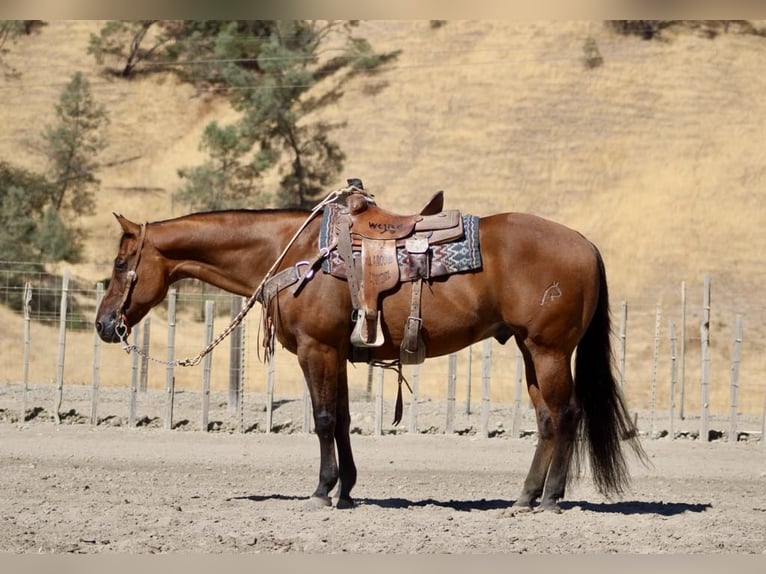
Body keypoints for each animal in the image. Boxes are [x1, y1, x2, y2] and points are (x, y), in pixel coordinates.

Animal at [96, 191, 648, 516]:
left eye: (122, 264)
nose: (105, 325)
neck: (296, 254)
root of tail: (585, 244)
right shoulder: (336, 354)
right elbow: (340, 419)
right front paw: (347, 489)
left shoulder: (316, 350)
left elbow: (322, 419)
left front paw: (321, 492)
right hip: (532, 352)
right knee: (547, 420)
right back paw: (526, 496)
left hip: (549, 350)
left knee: (567, 414)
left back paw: (551, 499)